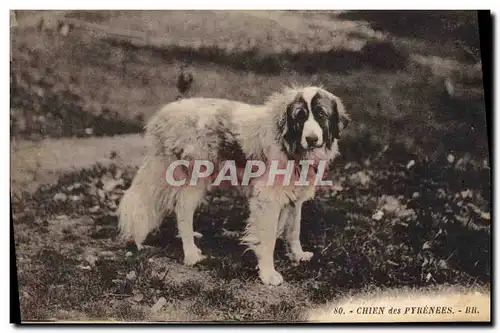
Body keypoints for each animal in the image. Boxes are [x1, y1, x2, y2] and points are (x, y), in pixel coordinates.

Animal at [118, 84, 350, 284]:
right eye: (300, 116)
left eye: (321, 115)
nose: (311, 139)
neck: (287, 142)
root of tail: (164, 114)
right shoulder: (266, 200)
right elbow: (267, 238)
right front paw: (268, 273)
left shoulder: (295, 199)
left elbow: (293, 230)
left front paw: (297, 255)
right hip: (194, 180)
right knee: (183, 213)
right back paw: (191, 253)